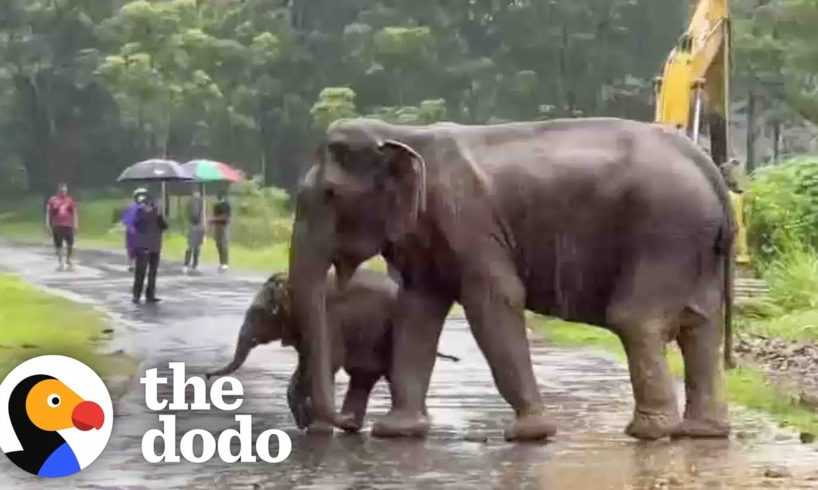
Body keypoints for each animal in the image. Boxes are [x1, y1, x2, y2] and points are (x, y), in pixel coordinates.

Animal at [207, 268, 456, 432]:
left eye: (259, 313)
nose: (208, 375)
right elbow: (306, 364)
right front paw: (306, 422)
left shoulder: (328, 319)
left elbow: (326, 362)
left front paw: (314, 427)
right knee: (362, 379)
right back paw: (353, 425)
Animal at [284, 117, 728, 442]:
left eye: (329, 194)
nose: (347, 424)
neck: (401, 134)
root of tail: (708, 167)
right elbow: (418, 310)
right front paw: (397, 432)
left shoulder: (470, 222)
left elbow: (494, 302)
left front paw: (528, 433)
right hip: (695, 248)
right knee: (701, 323)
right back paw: (701, 433)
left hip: (665, 233)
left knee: (637, 320)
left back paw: (648, 433)